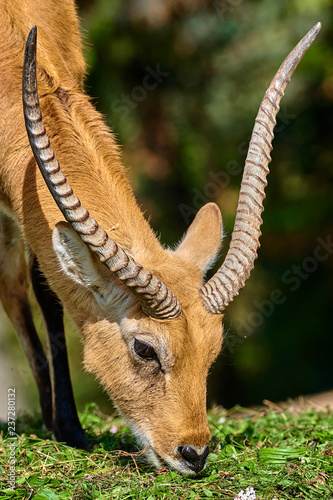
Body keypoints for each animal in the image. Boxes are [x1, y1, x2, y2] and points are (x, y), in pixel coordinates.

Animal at [0, 0, 320, 474]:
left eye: (213, 347)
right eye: (145, 348)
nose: (194, 453)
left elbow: (40, 291)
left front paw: (65, 428)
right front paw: (63, 428)